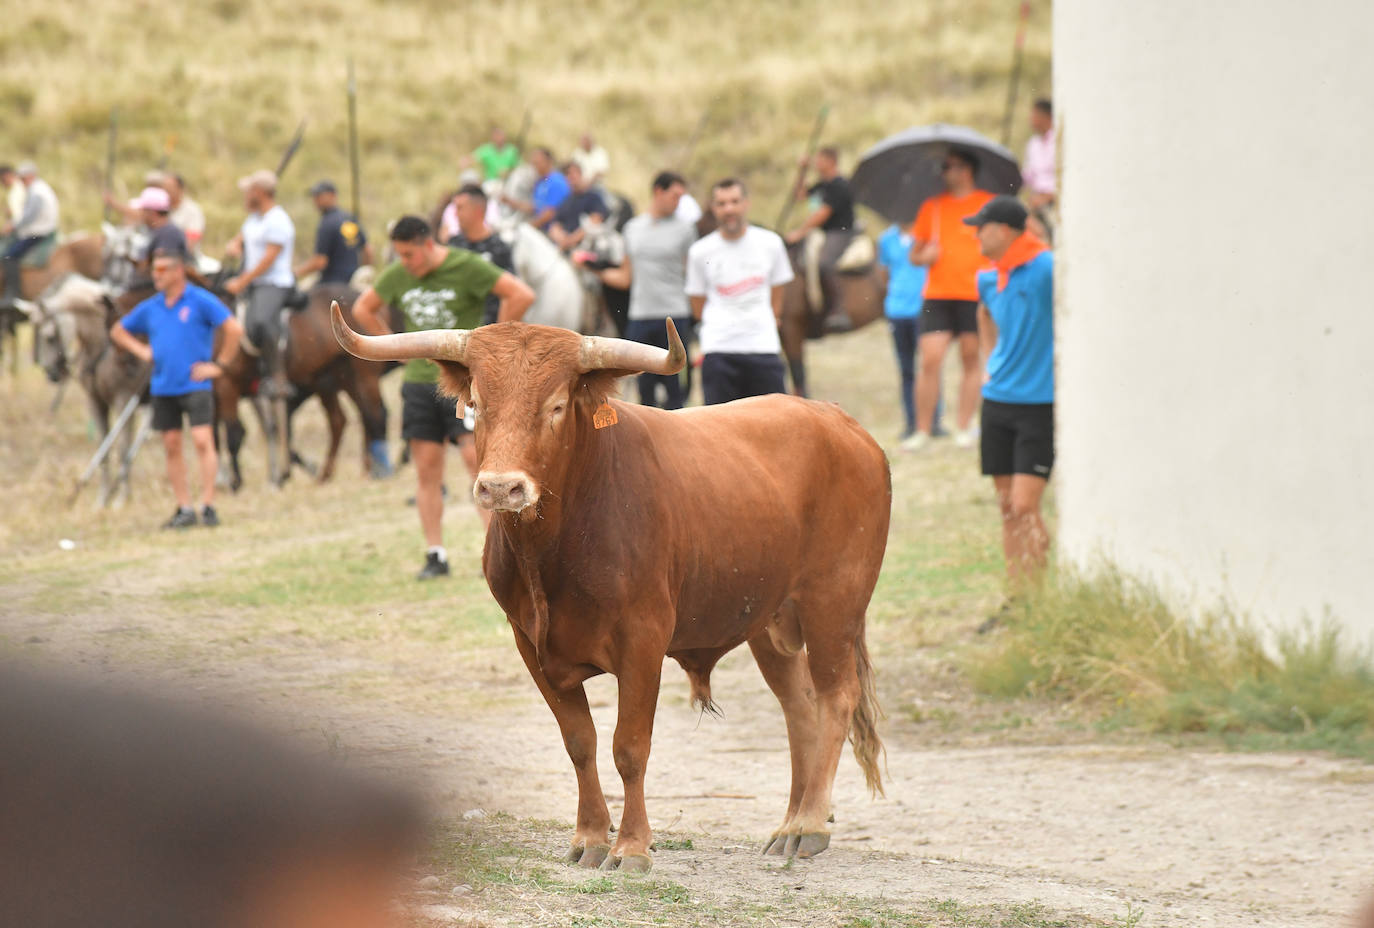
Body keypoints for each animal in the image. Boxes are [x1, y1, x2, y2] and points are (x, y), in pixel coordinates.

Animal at [332, 302, 890, 868]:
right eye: (478, 405)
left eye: (556, 406)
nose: (501, 488)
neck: (552, 552)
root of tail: (840, 422)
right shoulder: (531, 644)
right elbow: (580, 741)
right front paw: (590, 837)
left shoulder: (643, 641)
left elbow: (630, 747)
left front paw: (633, 846)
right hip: (768, 620)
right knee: (800, 707)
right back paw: (790, 821)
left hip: (834, 602)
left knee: (836, 699)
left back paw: (810, 823)